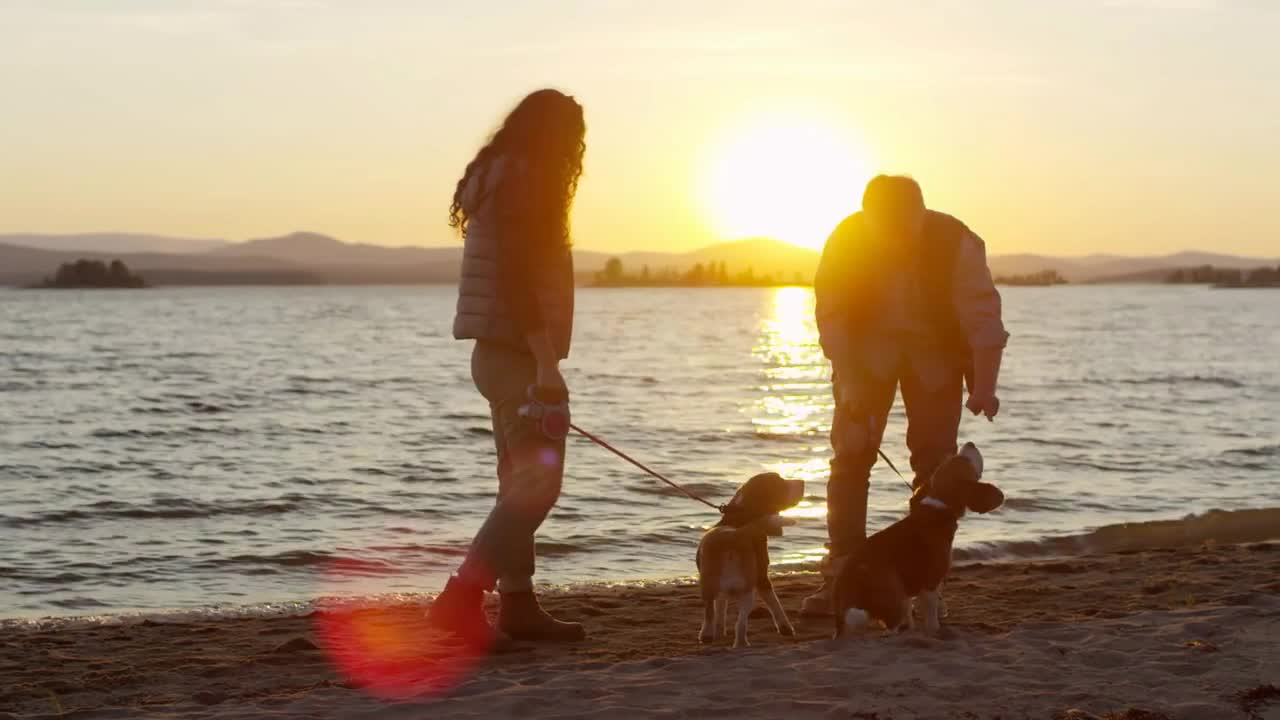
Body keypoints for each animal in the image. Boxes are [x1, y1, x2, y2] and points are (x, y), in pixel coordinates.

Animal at [701, 471, 798, 645]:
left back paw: (709, 636)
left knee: (712, 614)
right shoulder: (762, 577)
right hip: (746, 589)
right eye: (780, 483)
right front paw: (785, 627)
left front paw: (719, 632)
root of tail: (734, 535)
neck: (740, 518)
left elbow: (720, 610)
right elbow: (774, 602)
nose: (802, 482)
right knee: (739, 622)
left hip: (713, 587)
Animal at [834, 440, 1003, 635]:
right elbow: (931, 619)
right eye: (965, 461)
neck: (938, 507)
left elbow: (911, 614)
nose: (970, 443)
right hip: (895, 598)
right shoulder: (931, 583)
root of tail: (851, 578)